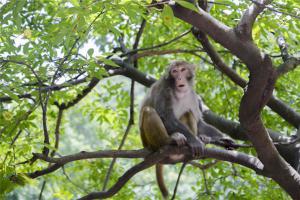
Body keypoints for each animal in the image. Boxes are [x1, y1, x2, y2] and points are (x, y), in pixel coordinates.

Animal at [139, 60, 236, 198]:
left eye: (183, 70)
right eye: (175, 71)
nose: (179, 77)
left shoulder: (193, 96)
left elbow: (199, 122)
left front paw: (224, 139)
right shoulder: (163, 89)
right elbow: (166, 116)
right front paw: (194, 141)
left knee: (188, 113)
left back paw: (199, 141)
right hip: (148, 142)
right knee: (148, 110)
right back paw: (169, 141)